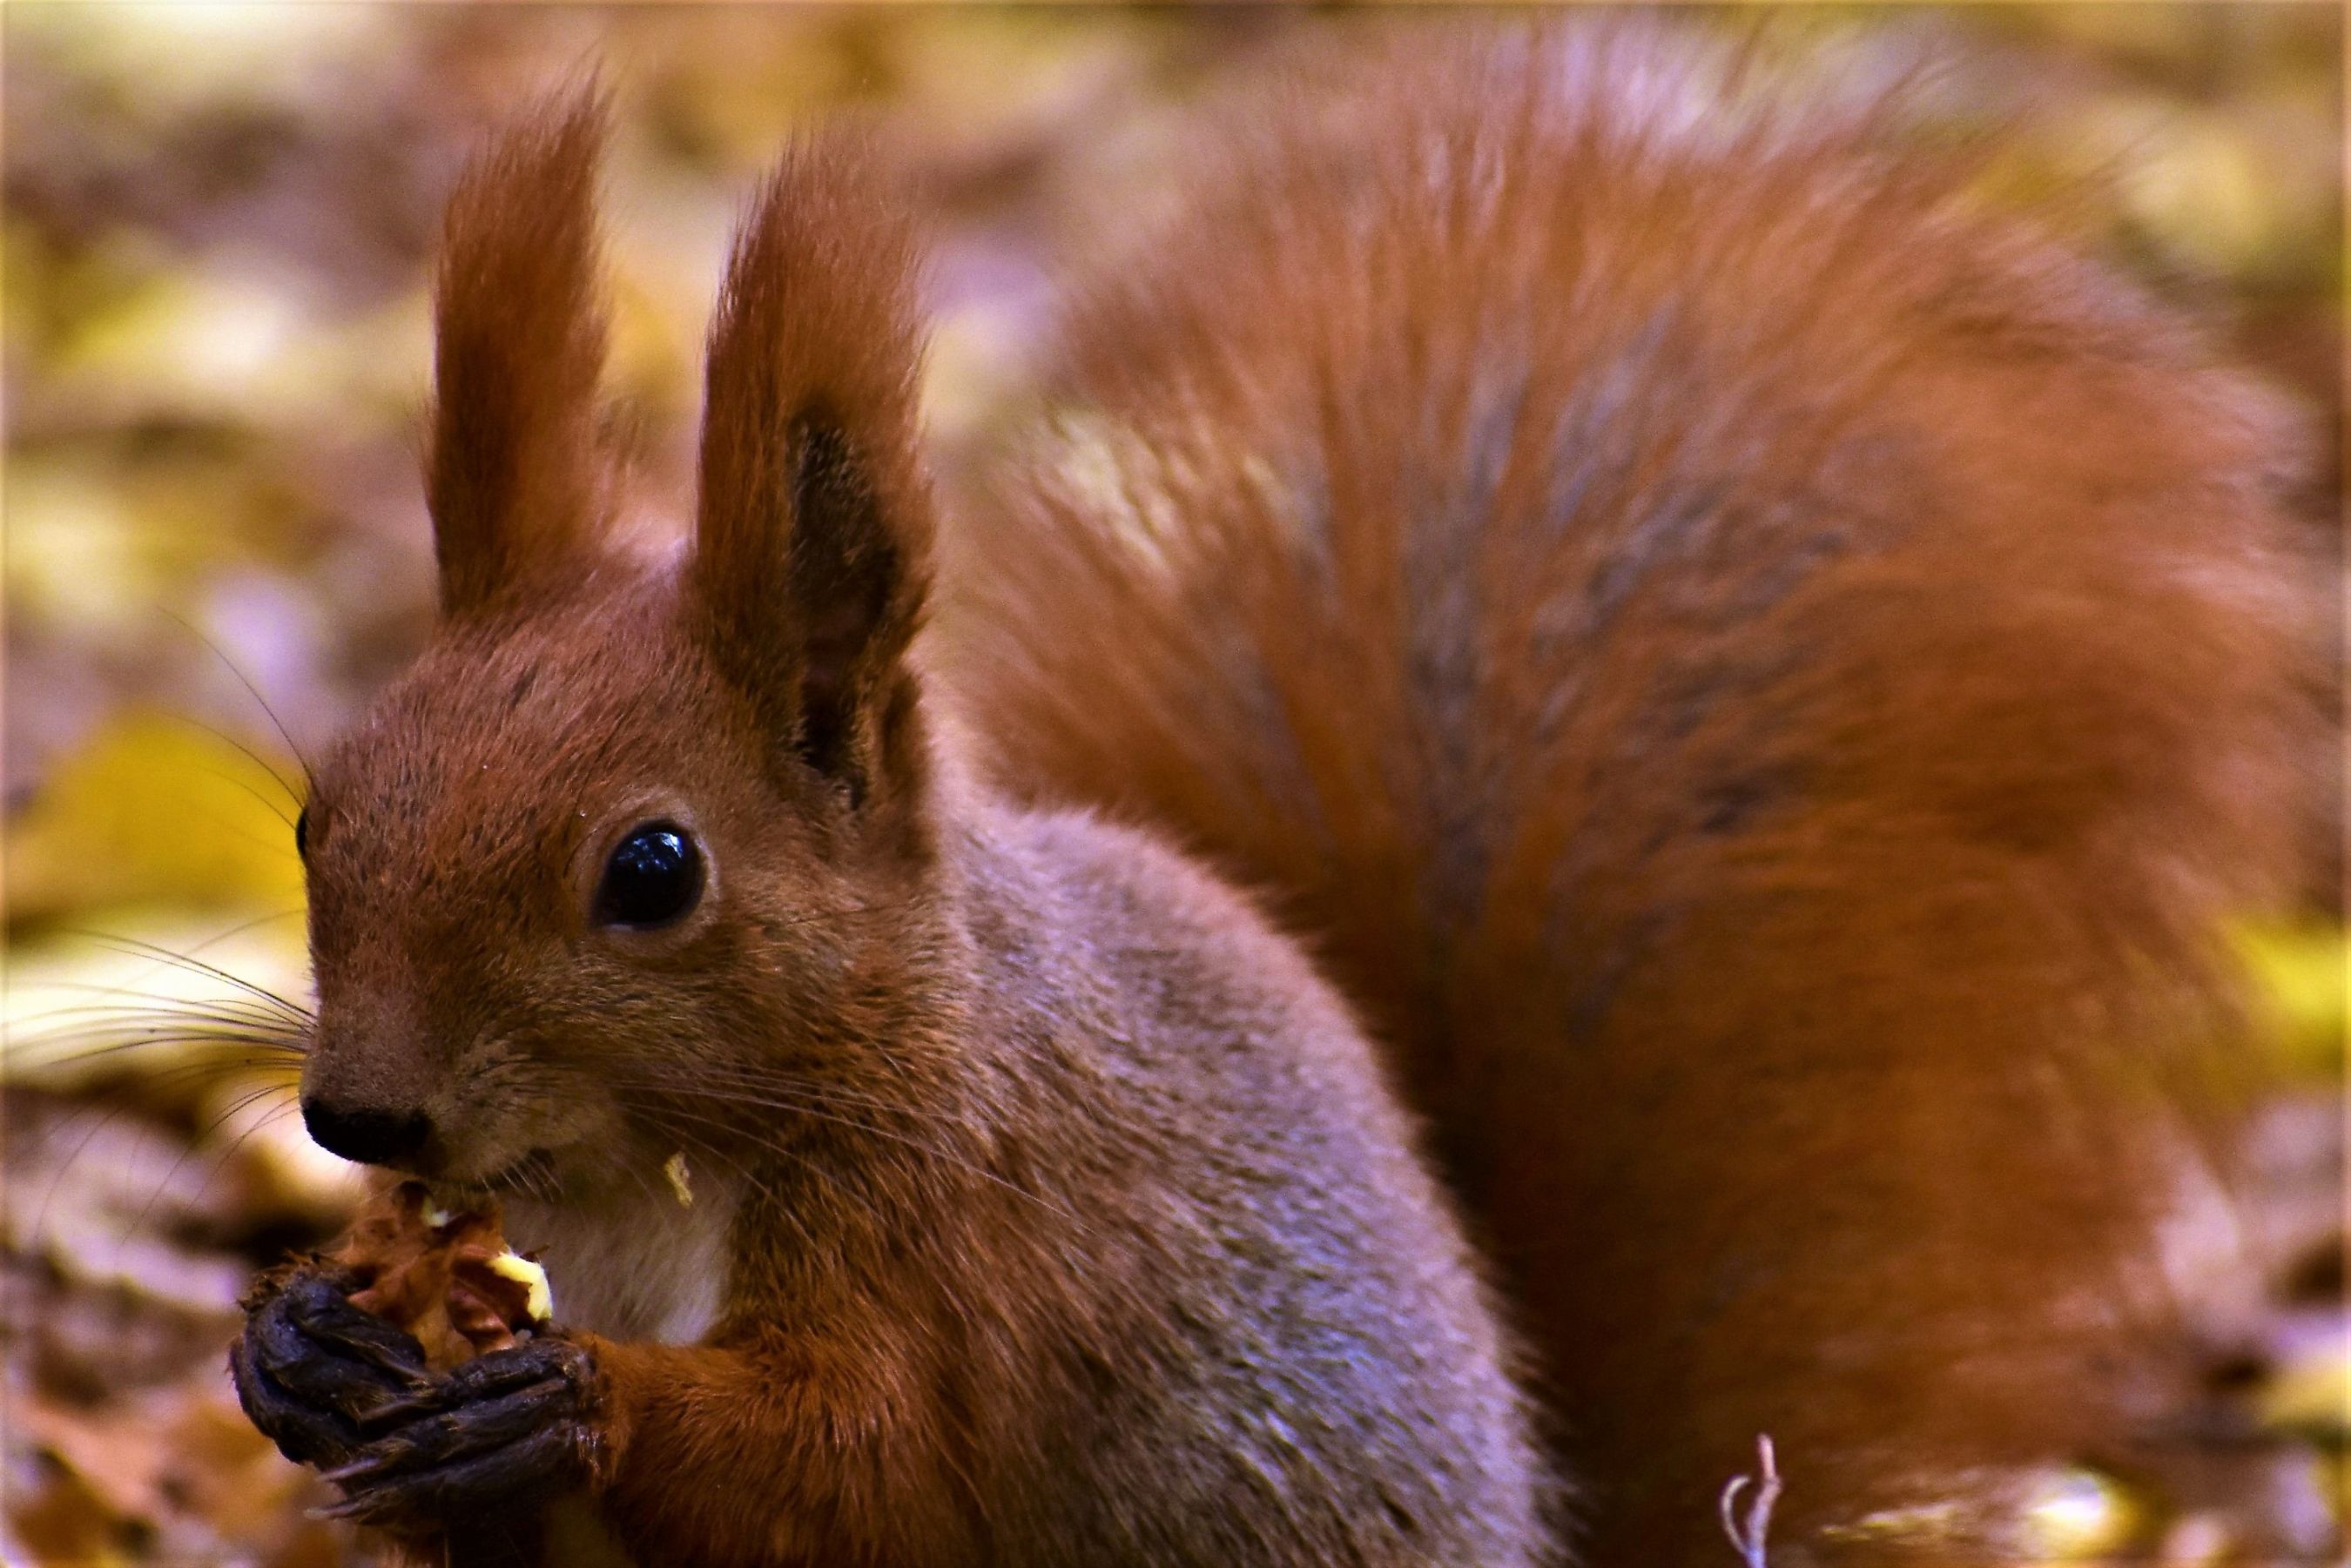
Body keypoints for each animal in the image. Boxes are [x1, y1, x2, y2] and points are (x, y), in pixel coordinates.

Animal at [229, 21, 2322, 1568]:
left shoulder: (1005, 1259)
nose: (360, 1114)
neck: (658, 1174)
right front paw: (306, 1347)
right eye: (323, 810)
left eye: (655, 868)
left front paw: (565, 1401)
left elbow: (858, 1466)